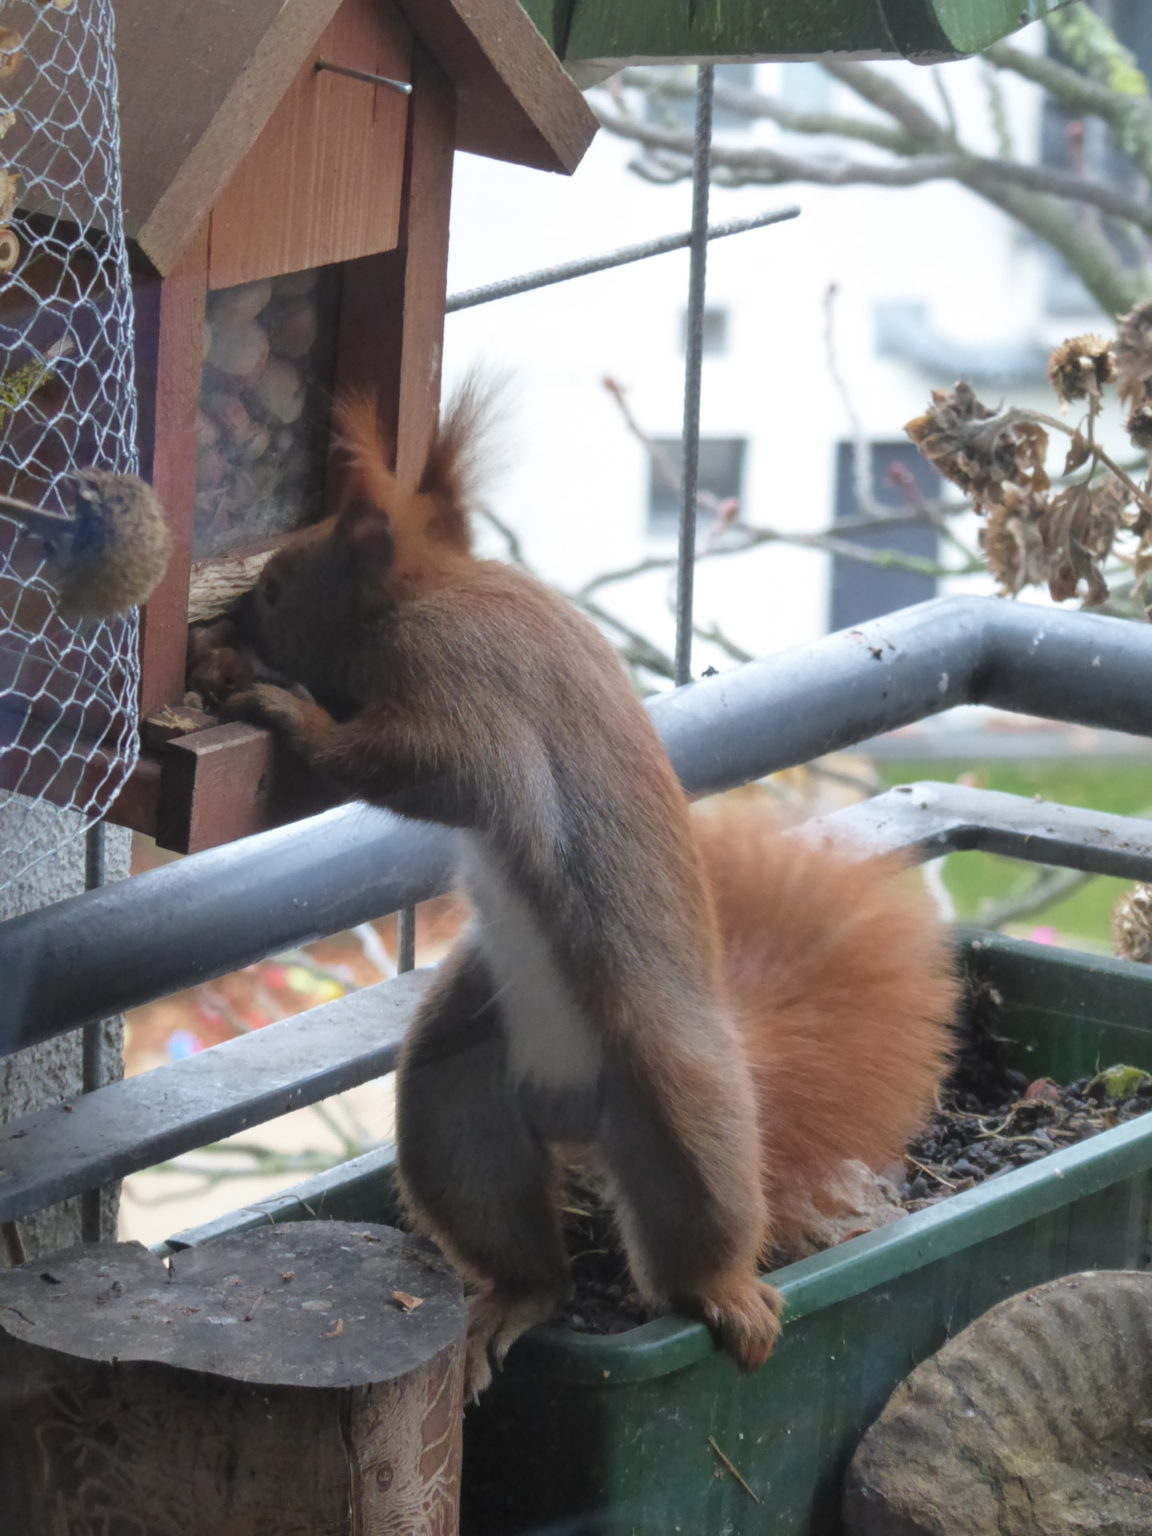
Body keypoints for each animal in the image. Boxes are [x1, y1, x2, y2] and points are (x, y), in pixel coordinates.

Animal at [221, 384, 957, 1395]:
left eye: (278, 587)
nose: (229, 627)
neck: (437, 591)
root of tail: (571, 1118)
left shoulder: (460, 684)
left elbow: (423, 768)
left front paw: (286, 710)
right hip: (459, 1101)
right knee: (527, 1251)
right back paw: (512, 1301)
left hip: (677, 1101)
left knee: (702, 1226)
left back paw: (732, 1295)